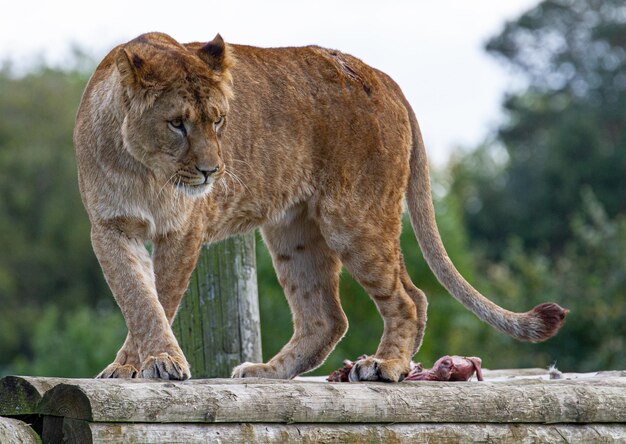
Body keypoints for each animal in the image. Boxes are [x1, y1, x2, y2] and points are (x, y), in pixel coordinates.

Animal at [74, 32, 564, 382]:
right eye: (177, 123)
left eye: (219, 120)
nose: (213, 171)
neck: (144, 168)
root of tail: (385, 78)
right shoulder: (110, 228)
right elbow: (138, 298)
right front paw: (130, 365)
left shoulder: (182, 230)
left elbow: (160, 297)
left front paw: (154, 361)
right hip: (294, 230)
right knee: (329, 317)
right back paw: (270, 372)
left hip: (355, 219)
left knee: (408, 297)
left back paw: (385, 366)